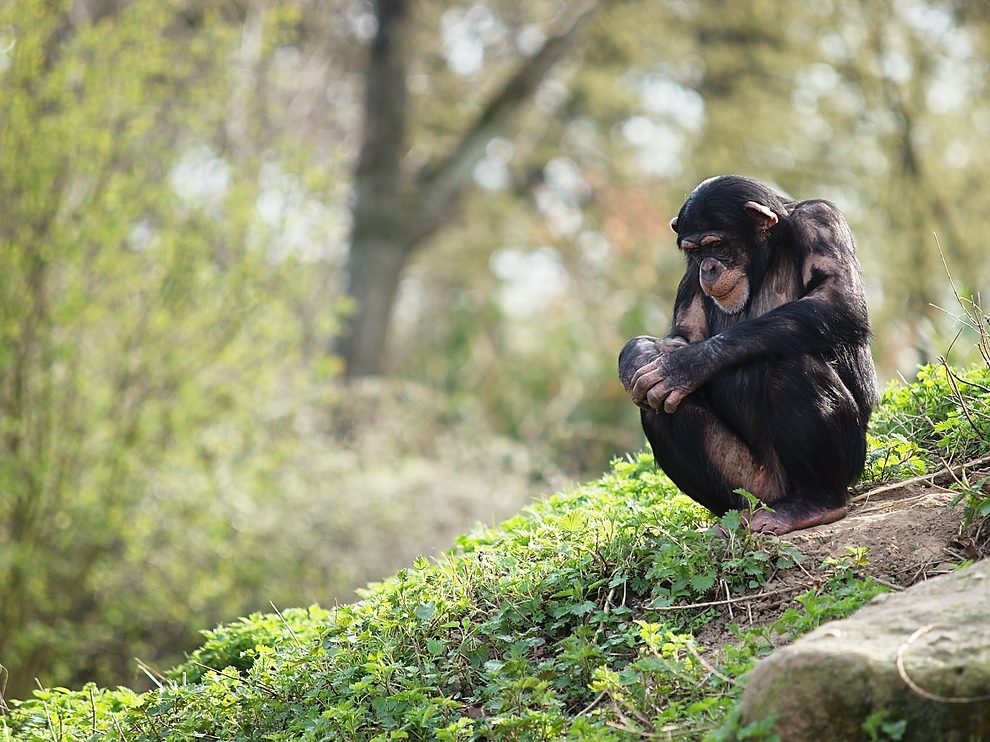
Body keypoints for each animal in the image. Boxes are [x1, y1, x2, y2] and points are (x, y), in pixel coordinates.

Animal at [620, 174, 884, 536]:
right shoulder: (689, 273)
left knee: (791, 366)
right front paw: (638, 354)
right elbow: (685, 335)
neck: (767, 256)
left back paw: (816, 504)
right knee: (657, 407)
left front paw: (686, 365)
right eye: (695, 250)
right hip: (753, 483)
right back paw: (733, 520)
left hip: (849, 460)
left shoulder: (821, 220)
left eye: (717, 245)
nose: (708, 268)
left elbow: (837, 298)